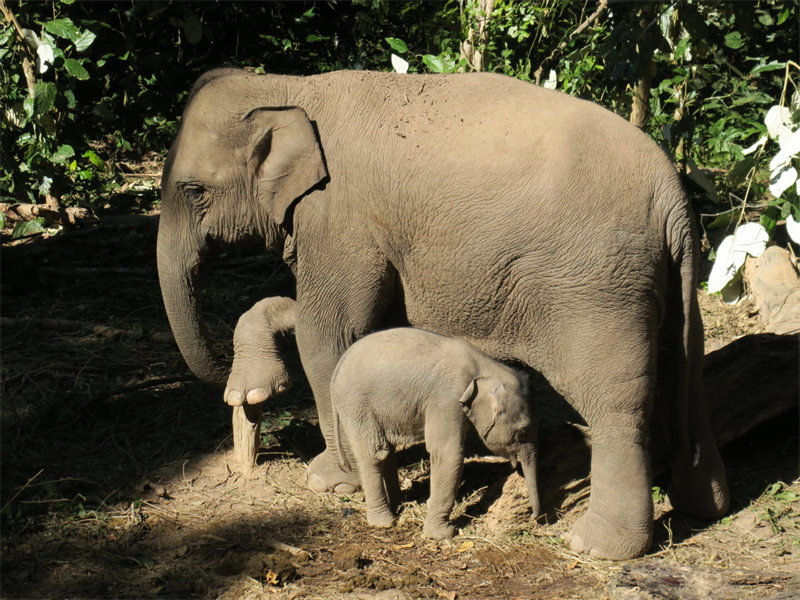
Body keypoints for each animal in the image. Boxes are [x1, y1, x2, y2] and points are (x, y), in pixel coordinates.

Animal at [332, 328, 536, 540]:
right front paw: (444, 534)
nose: (535, 517)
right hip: (357, 405)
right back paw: (384, 522)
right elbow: (448, 453)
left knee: (386, 452)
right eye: (521, 433)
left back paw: (398, 504)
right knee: (374, 454)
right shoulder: (446, 399)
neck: (485, 366)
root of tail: (339, 366)